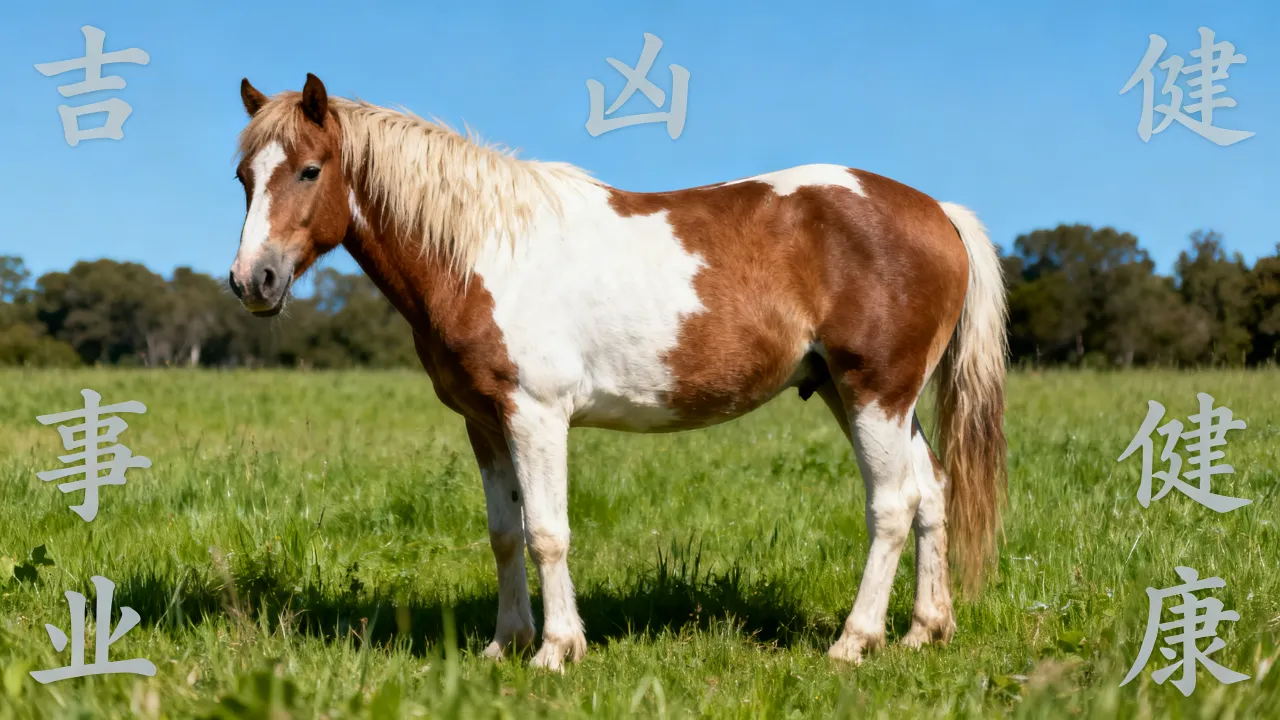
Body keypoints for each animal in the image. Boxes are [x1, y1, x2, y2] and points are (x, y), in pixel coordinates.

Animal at [228, 74, 1008, 671]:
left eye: (309, 170)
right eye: (244, 178)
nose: (251, 281)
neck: (482, 250)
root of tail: (939, 212)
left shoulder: (537, 415)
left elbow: (547, 530)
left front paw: (555, 651)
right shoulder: (485, 422)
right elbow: (505, 533)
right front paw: (504, 644)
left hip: (875, 394)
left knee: (892, 506)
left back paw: (854, 641)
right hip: (861, 398)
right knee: (932, 492)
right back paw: (924, 631)